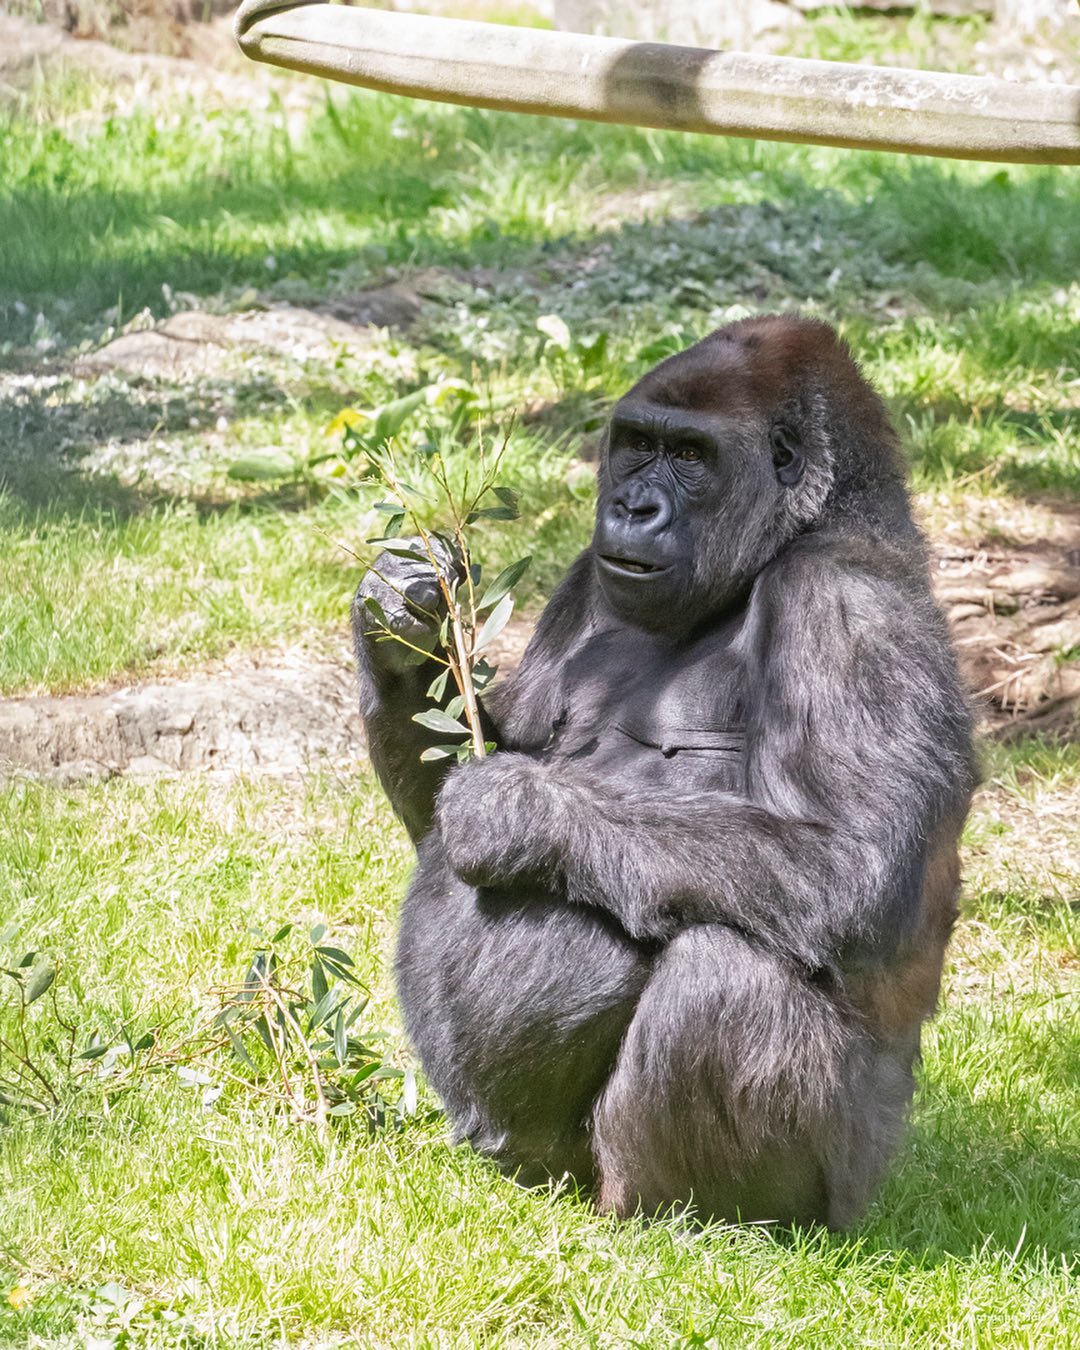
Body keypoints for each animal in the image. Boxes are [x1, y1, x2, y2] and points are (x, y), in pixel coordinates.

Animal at [351, 313, 972, 1225]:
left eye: (690, 455)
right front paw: (403, 625)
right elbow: (443, 796)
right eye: (638, 445)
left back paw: (697, 1218)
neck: (787, 540)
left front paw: (516, 812)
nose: (631, 506)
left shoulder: (850, 602)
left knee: (731, 969)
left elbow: (852, 864)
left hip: (838, 1196)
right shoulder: (584, 574)